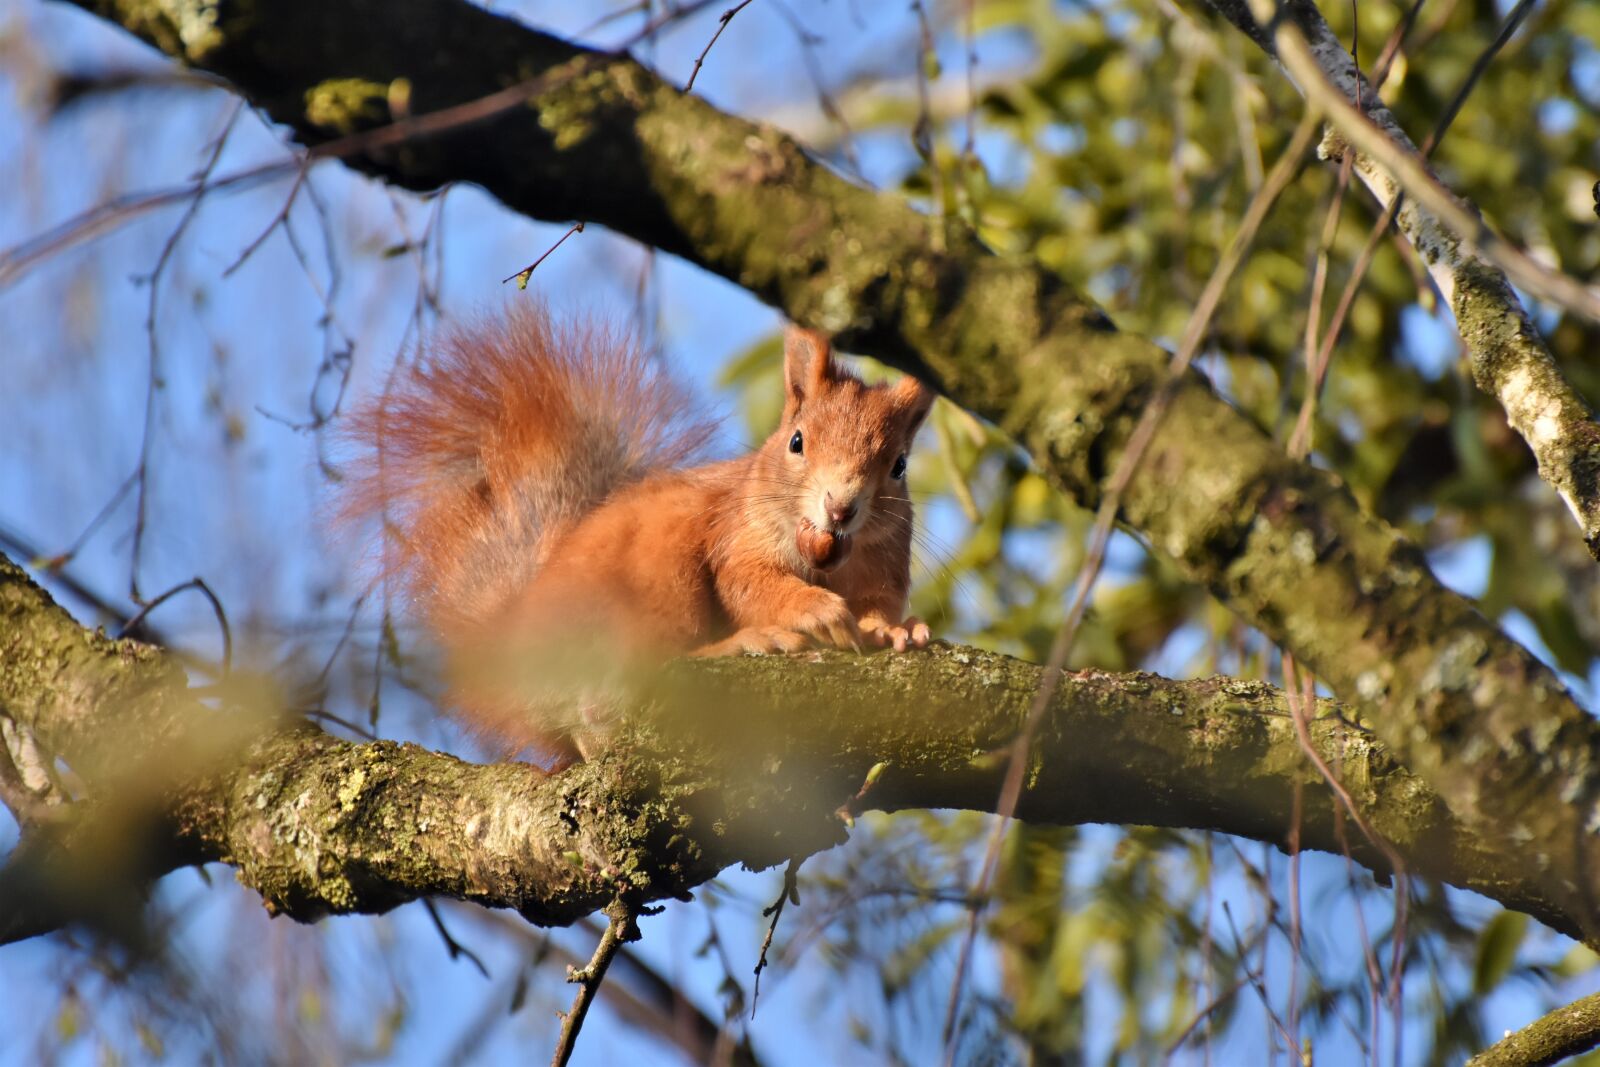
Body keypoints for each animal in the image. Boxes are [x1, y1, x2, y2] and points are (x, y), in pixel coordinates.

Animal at [340, 303, 935, 761]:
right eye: (796, 442)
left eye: (899, 466)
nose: (840, 508)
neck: (830, 558)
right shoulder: (734, 535)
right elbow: (751, 584)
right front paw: (816, 610)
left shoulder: (881, 570)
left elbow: (877, 606)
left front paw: (896, 630)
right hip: (657, 575)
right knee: (654, 669)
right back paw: (743, 644)